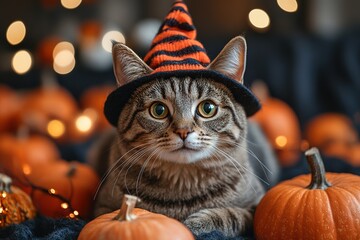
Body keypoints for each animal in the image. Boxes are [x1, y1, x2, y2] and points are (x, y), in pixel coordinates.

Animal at [90, 36, 278, 238]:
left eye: (208, 108)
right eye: (158, 110)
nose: (183, 131)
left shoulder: (257, 205)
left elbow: (232, 214)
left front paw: (196, 223)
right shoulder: (102, 207)